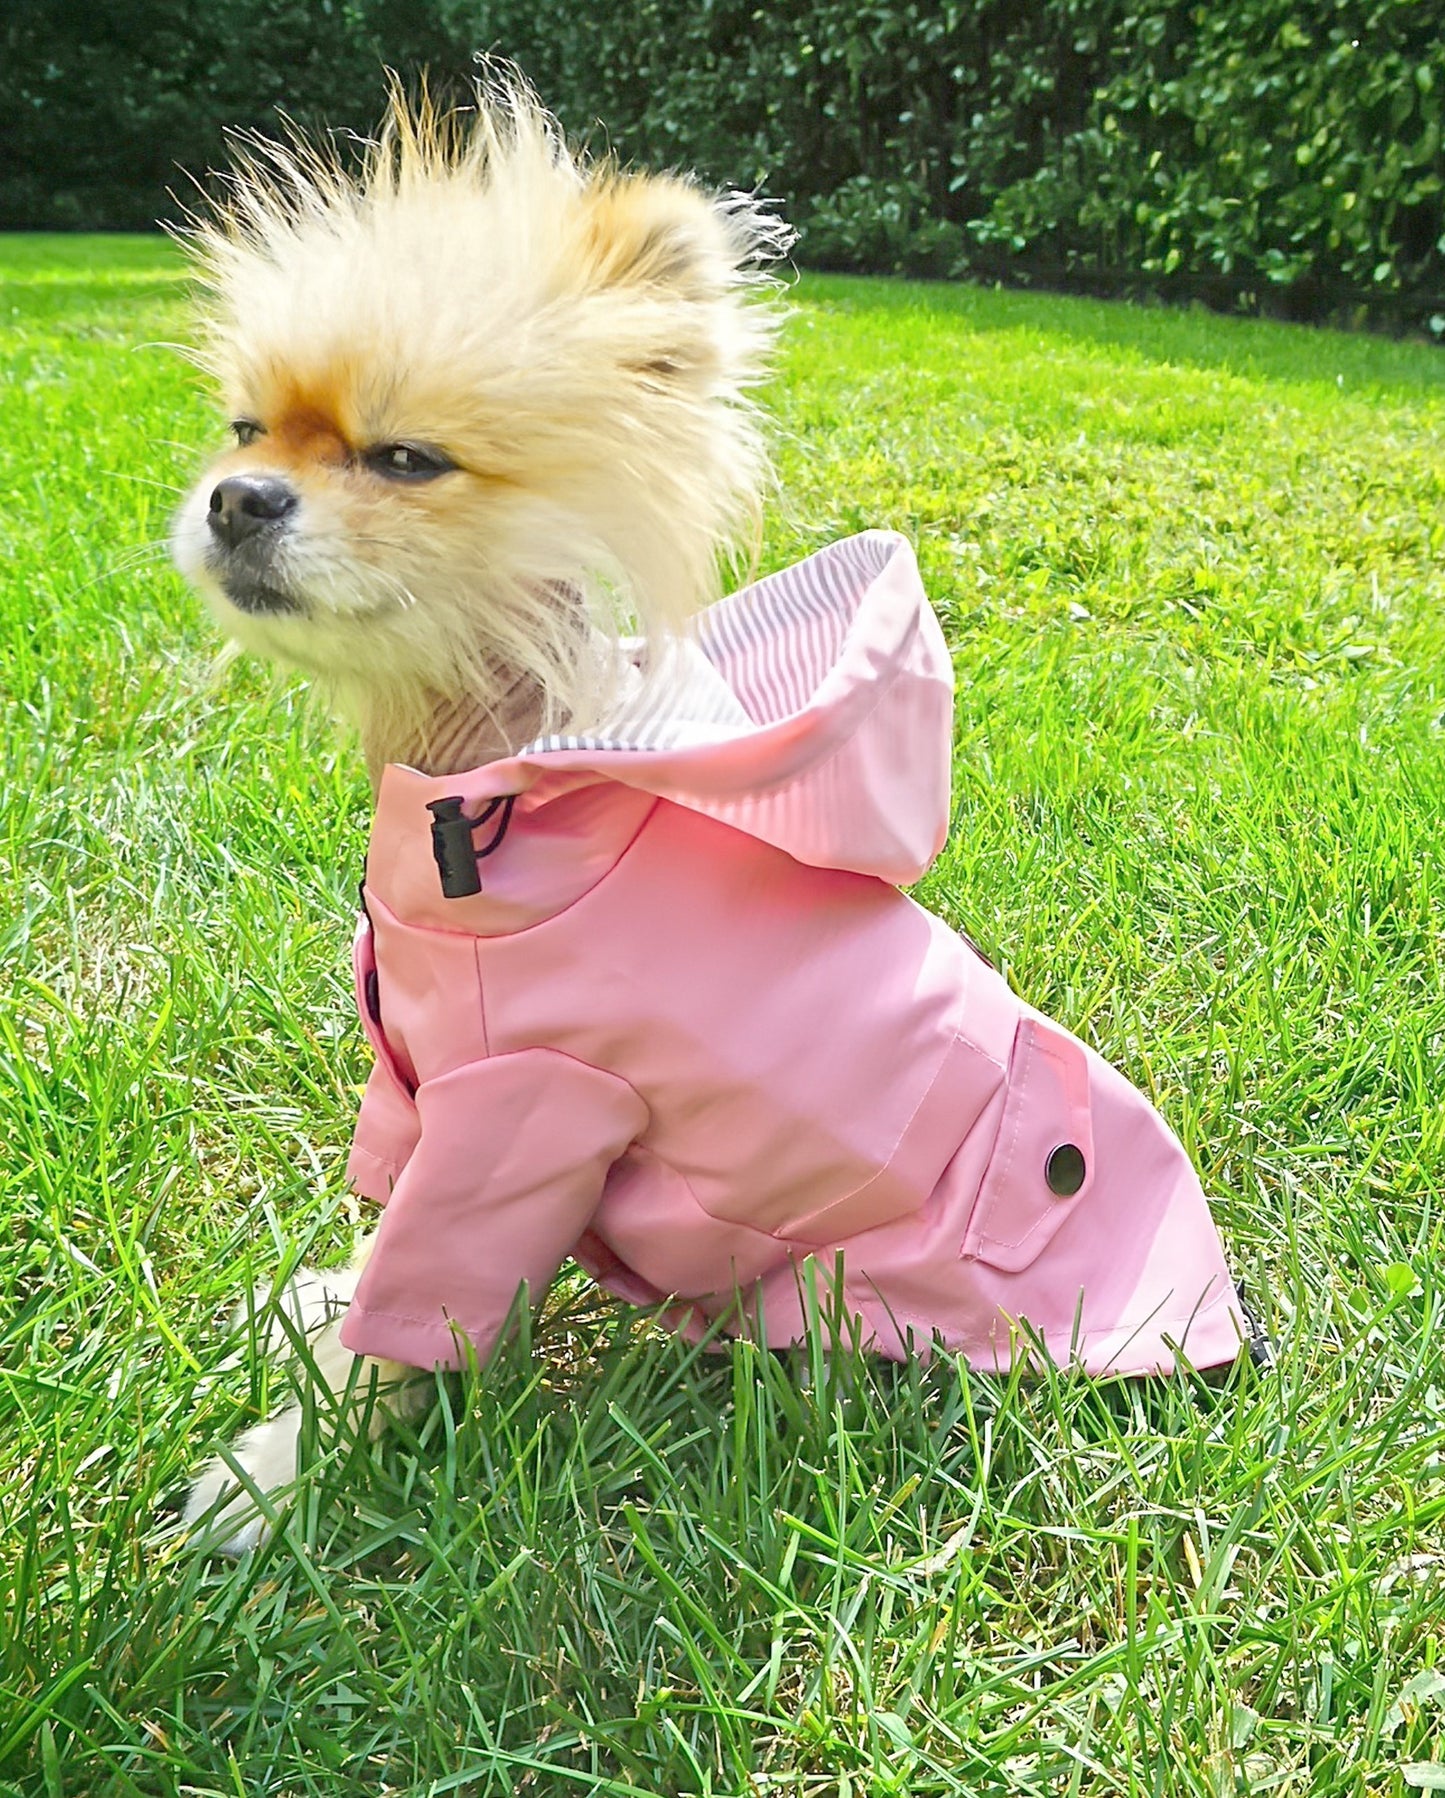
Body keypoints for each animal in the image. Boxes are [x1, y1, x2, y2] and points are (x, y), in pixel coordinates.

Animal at [172, 77, 790, 1553]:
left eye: (405, 457)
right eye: (246, 433)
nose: (237, 498)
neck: (476, 766)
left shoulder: (523, 1118)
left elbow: (416, 1314)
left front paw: (289, 1467)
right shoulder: (418, 1089)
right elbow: (381, 1249)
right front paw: (325, 1307)